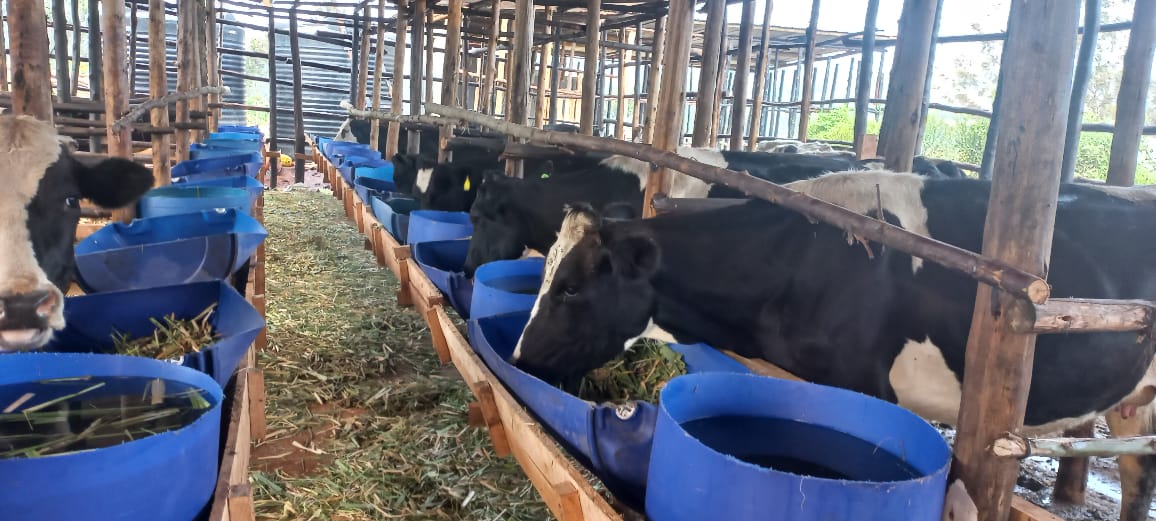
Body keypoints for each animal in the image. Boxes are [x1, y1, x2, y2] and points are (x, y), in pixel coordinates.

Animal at [511, 170, 1156, 521]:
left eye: (570, 288)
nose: (519, 358)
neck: (796, 258)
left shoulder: (862, 384)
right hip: (1135, 398)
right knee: (1137, 474)